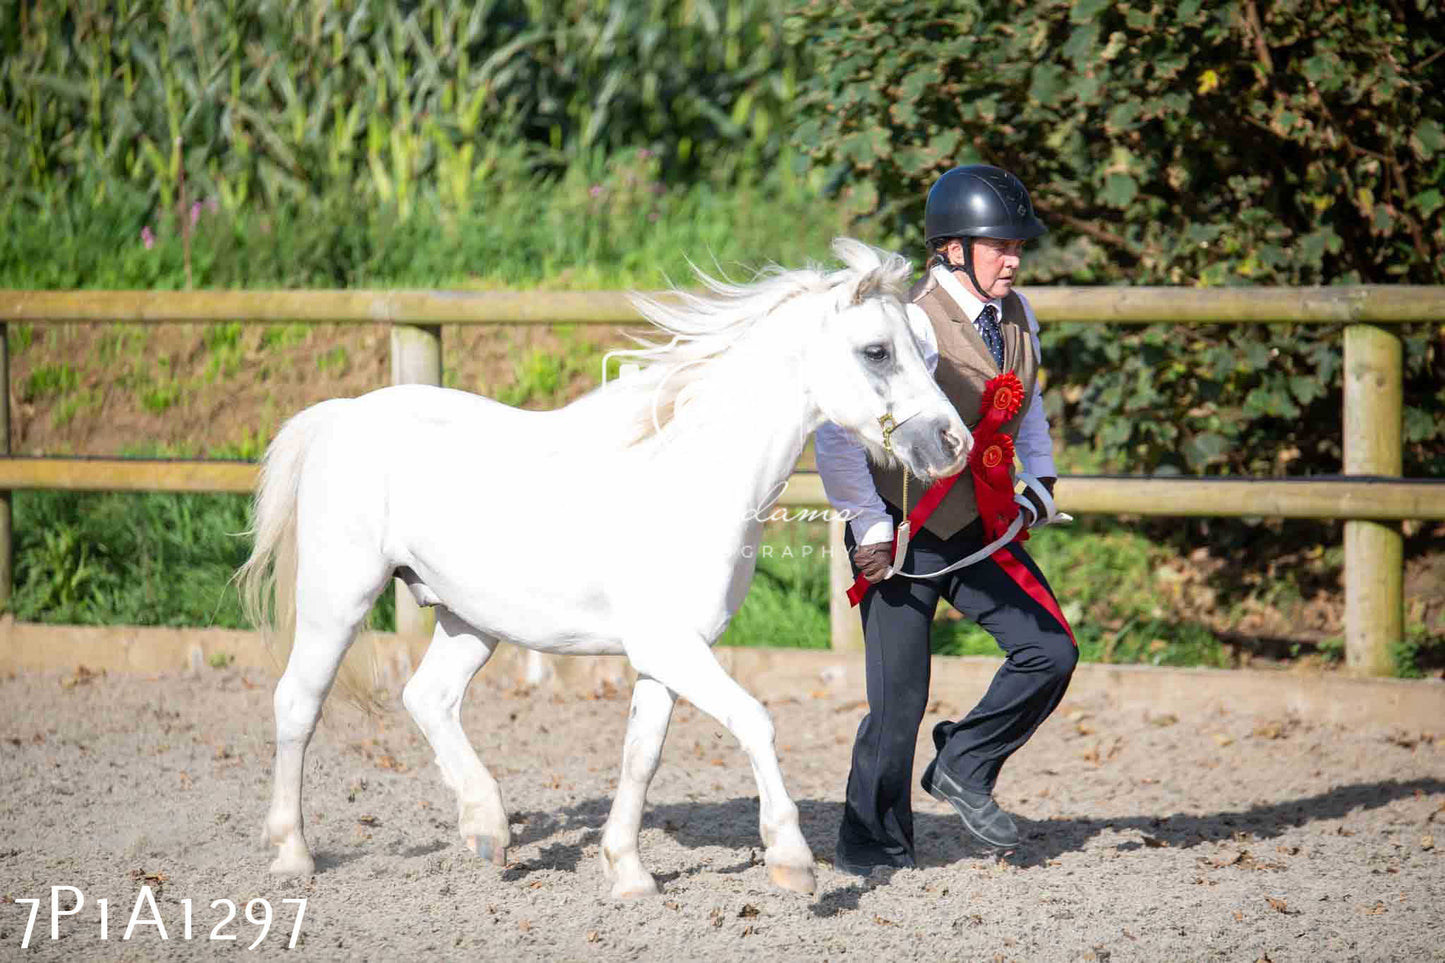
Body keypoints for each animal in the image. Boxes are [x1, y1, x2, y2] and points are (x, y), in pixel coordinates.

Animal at [239, 235, 971, 896]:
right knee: (297, 704)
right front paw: (790, 858)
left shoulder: (666, 653)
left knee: (428, 697)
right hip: (338, 599)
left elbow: (640, 756)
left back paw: (488, 829)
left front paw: (628, 871)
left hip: (469, 618)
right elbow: (754, 721)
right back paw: (294, 853)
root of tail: (340, 415)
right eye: (877, 350)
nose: (953, 442)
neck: (691, 477)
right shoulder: (671, 646)